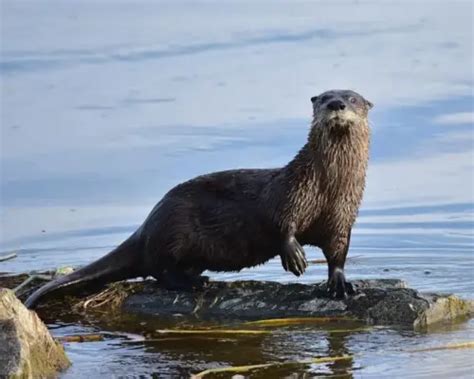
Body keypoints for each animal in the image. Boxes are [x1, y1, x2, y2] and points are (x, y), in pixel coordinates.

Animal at [25, 89, 374, 308]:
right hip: (174, 230)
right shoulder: (292, 193)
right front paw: (295, 255)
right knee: (160, 270)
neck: (327, 188)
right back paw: (196, 283)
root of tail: (147, 225)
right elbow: (279, 222)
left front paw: (340, 283)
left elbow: (338, 251)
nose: (336, 105)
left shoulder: (342, 216)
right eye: (324, 98)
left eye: (352, 98)